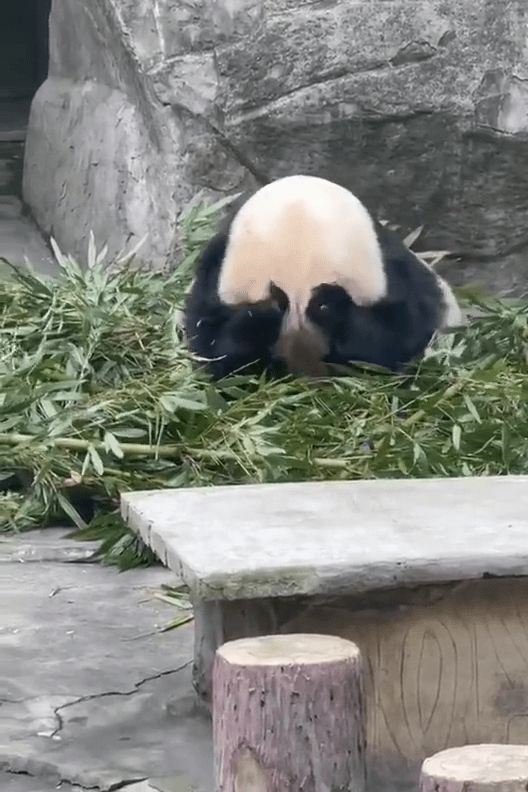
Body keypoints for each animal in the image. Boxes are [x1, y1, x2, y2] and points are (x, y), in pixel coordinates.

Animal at [183, 174, 463, 380]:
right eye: (275, 360)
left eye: (330, 354)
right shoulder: (216, 276)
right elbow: (217, 349)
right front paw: (264, 313)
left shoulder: (388, 274)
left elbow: (390, 341)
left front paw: (328, 303)